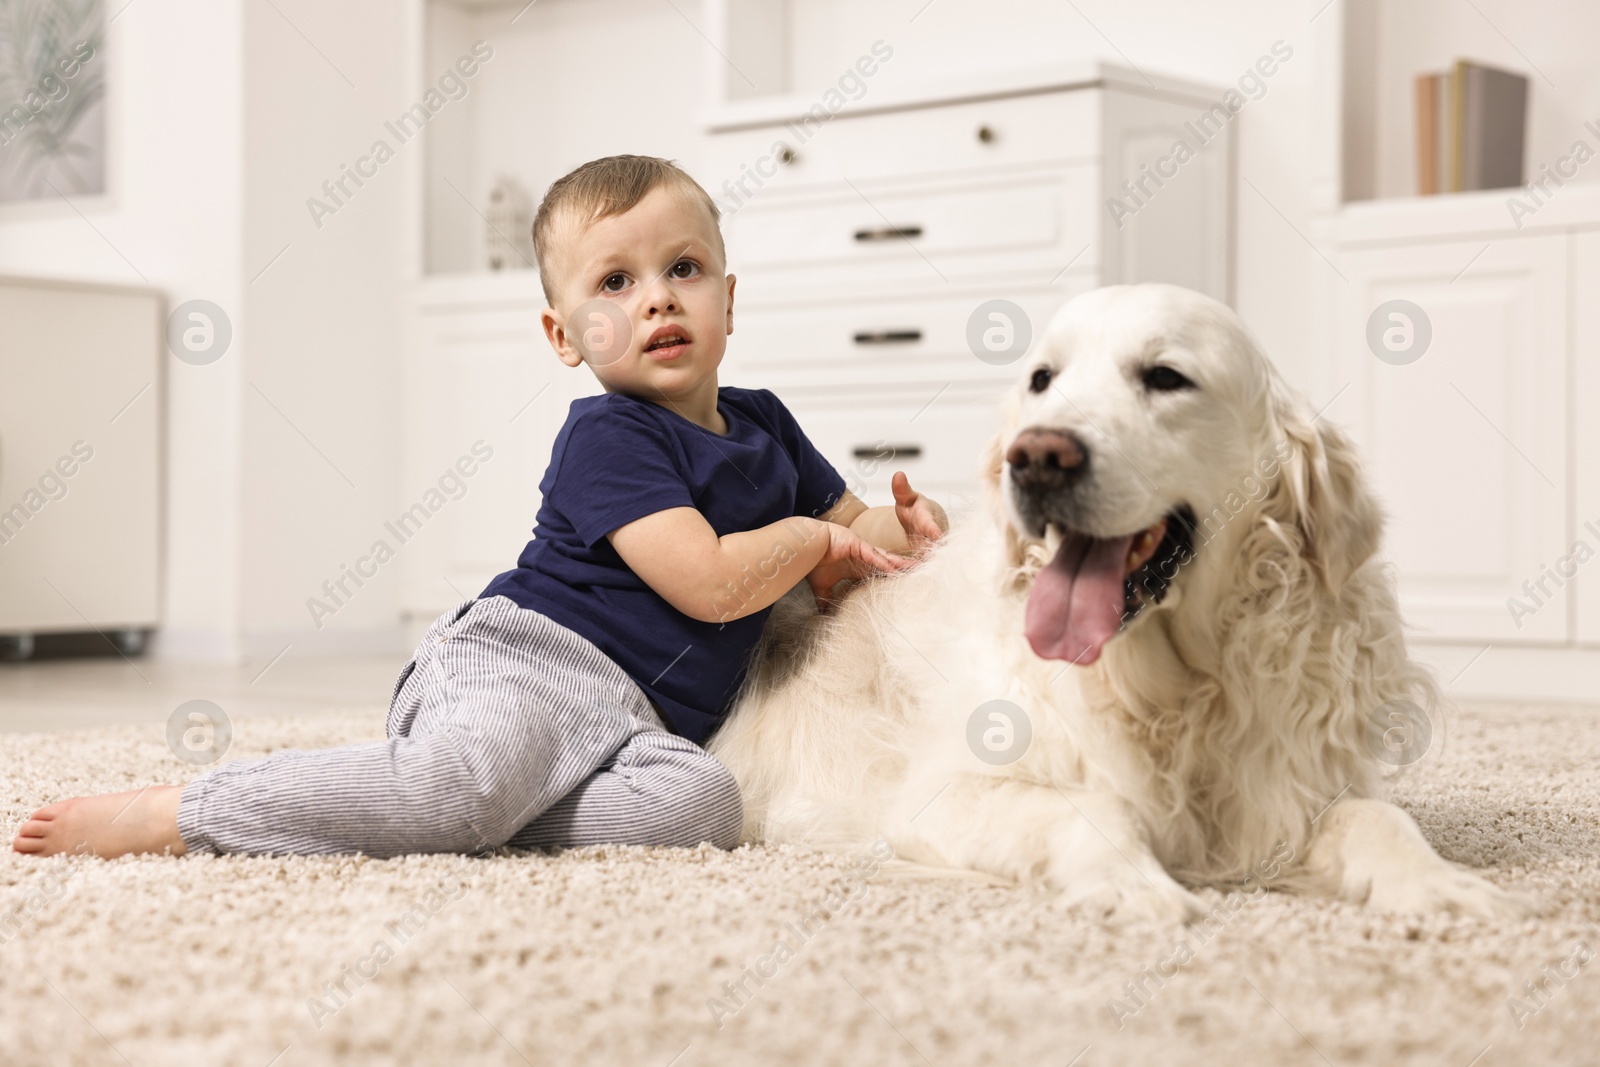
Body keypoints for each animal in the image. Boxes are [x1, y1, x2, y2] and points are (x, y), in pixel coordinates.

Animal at [710, 286, 1523, 927]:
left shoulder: (1281, 790)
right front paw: (1136, 887)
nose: (1037, 457)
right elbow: (1092, 807)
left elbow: (1376, 815)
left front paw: (1438, 882)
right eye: (1042, 379)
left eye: (1166, 377)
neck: (1172, 687)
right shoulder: (934, 795)